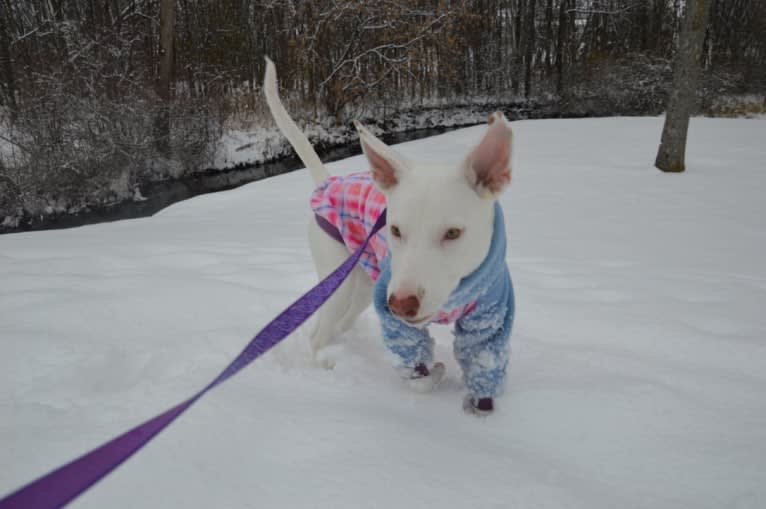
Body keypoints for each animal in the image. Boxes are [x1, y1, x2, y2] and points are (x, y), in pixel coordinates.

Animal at [264, 58, 516, 412]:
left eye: (453, 233)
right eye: (395, 229)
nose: (401, 304)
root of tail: (327, 181)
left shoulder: (491, 314)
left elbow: (483, 355)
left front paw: (481, 404)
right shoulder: (397, 321)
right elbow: (418, 377)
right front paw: (435, 375)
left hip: (363, 282)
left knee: (341, 322)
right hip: (340, 279)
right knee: (317, 333)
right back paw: (324, 364)